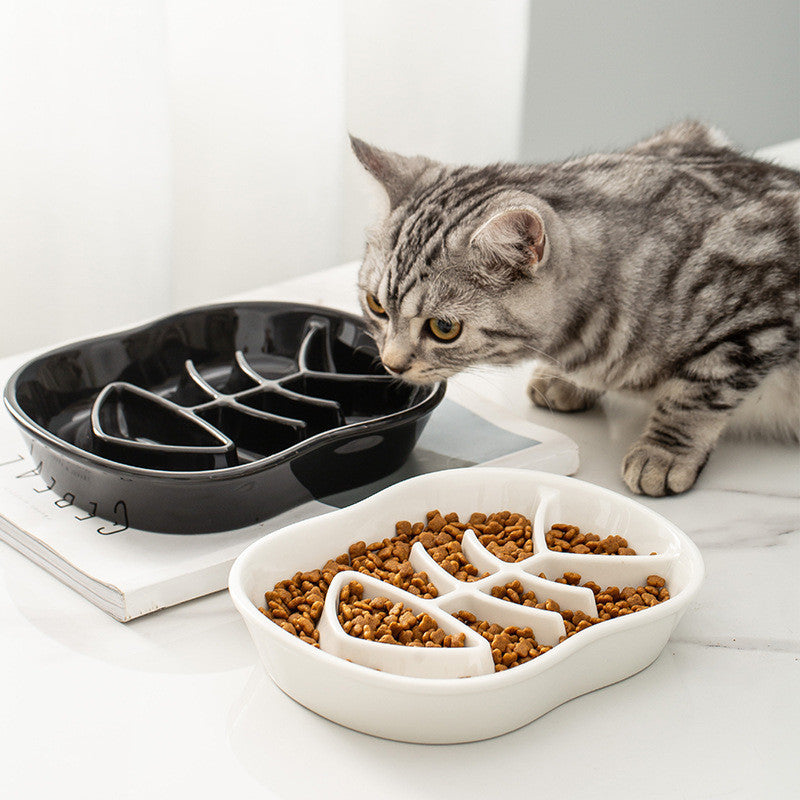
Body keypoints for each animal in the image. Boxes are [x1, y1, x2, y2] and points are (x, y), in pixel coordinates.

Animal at [354, 120, 800, 494]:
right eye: (376, 305)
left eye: (444, 328)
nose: (391, 364)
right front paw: (566, 380)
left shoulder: (759, 321)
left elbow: (698, 391)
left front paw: (665, 451)